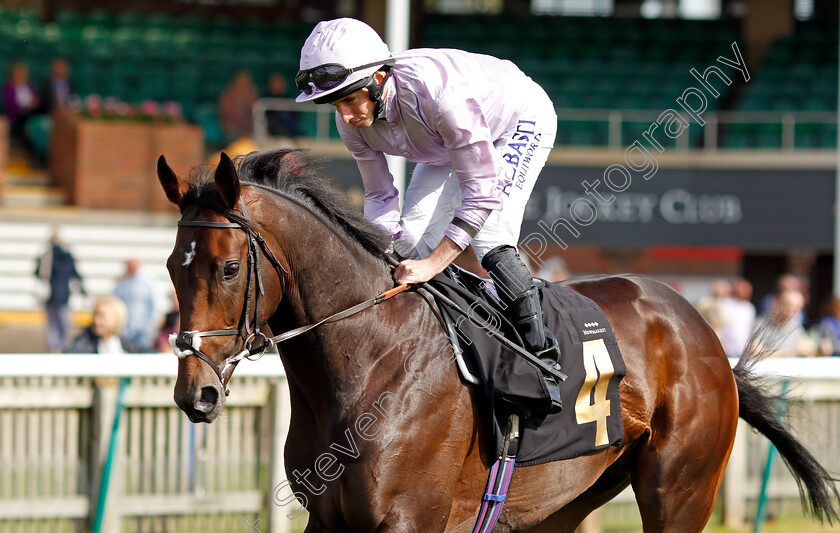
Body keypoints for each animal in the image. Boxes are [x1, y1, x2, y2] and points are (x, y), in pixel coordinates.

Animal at [156, 150, 832, 532]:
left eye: (228, 268)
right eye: (169, 266)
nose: (196, 394)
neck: (371, 359)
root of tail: (703, 334)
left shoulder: (408, 520)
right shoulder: (326, 520)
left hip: (680, 487)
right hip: (563, 502)